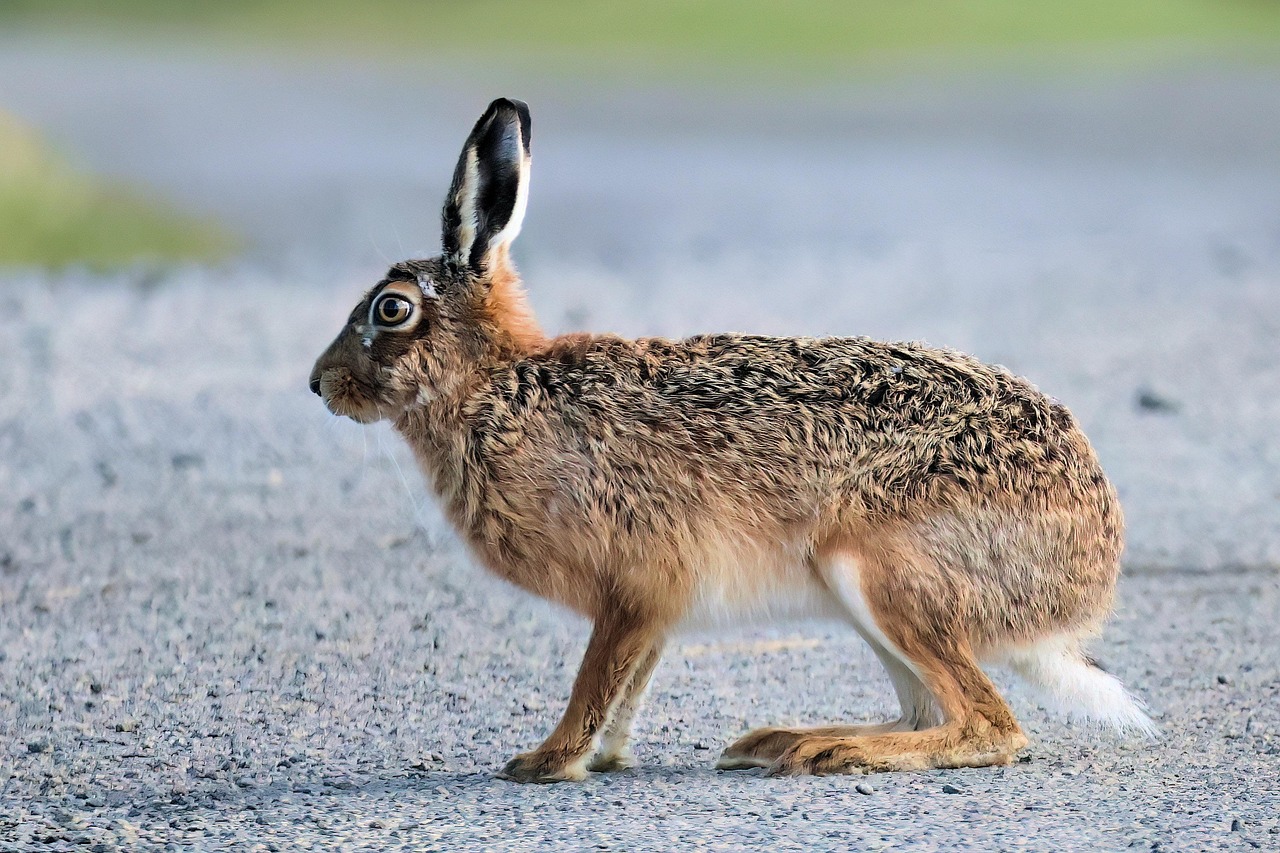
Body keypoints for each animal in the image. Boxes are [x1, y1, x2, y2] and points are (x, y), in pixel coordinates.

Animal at [310, 98, 1155, 783]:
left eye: (390, 309)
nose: (320, 384)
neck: (494, 388)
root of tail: (1085, 579)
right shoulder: (651, 607)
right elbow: (630, 682)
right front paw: (604, 757)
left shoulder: (636, 582)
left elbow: (596, 679)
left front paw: (547, 760)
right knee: (932, 710)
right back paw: (788, 739)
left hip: (882, 566)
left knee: (988, 726)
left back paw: (832, 750)